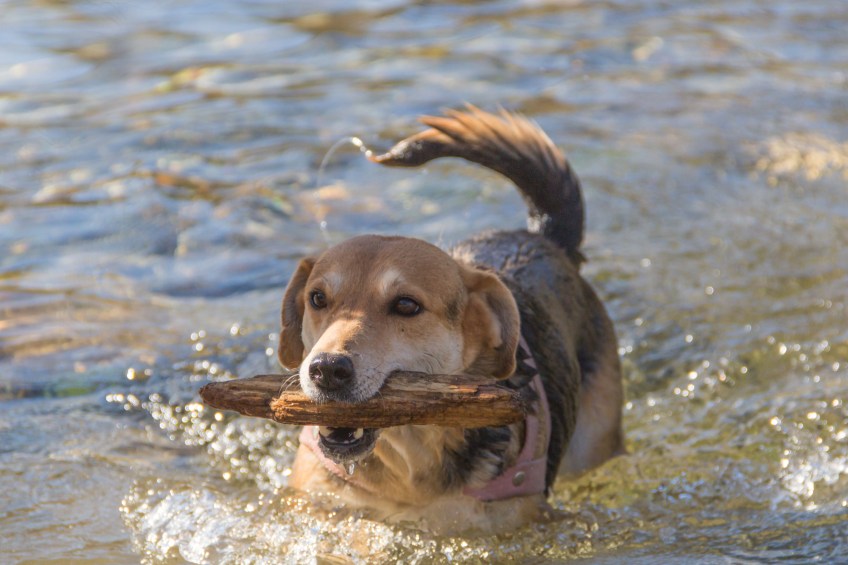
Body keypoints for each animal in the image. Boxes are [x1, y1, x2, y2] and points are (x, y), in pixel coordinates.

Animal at [278, 107, 624, 532]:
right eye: (318, 298)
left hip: (594, 437)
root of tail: (544, 237)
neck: (406, 469)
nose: (326, 369)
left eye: (406, 305)